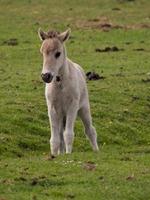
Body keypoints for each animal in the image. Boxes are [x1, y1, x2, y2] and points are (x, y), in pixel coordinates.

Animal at [38, 28, 99, 156]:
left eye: (58, 53)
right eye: (42, 52)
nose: (46, 76)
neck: (60, 83)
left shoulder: (72, 106)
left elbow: (69, 134)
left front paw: (68, 154)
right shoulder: (52, 108)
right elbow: (55, 138)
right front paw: (54, 155)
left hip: (83, 109)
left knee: (90, 130)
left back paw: (96, 150)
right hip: (61, 115)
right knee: (61, 134)